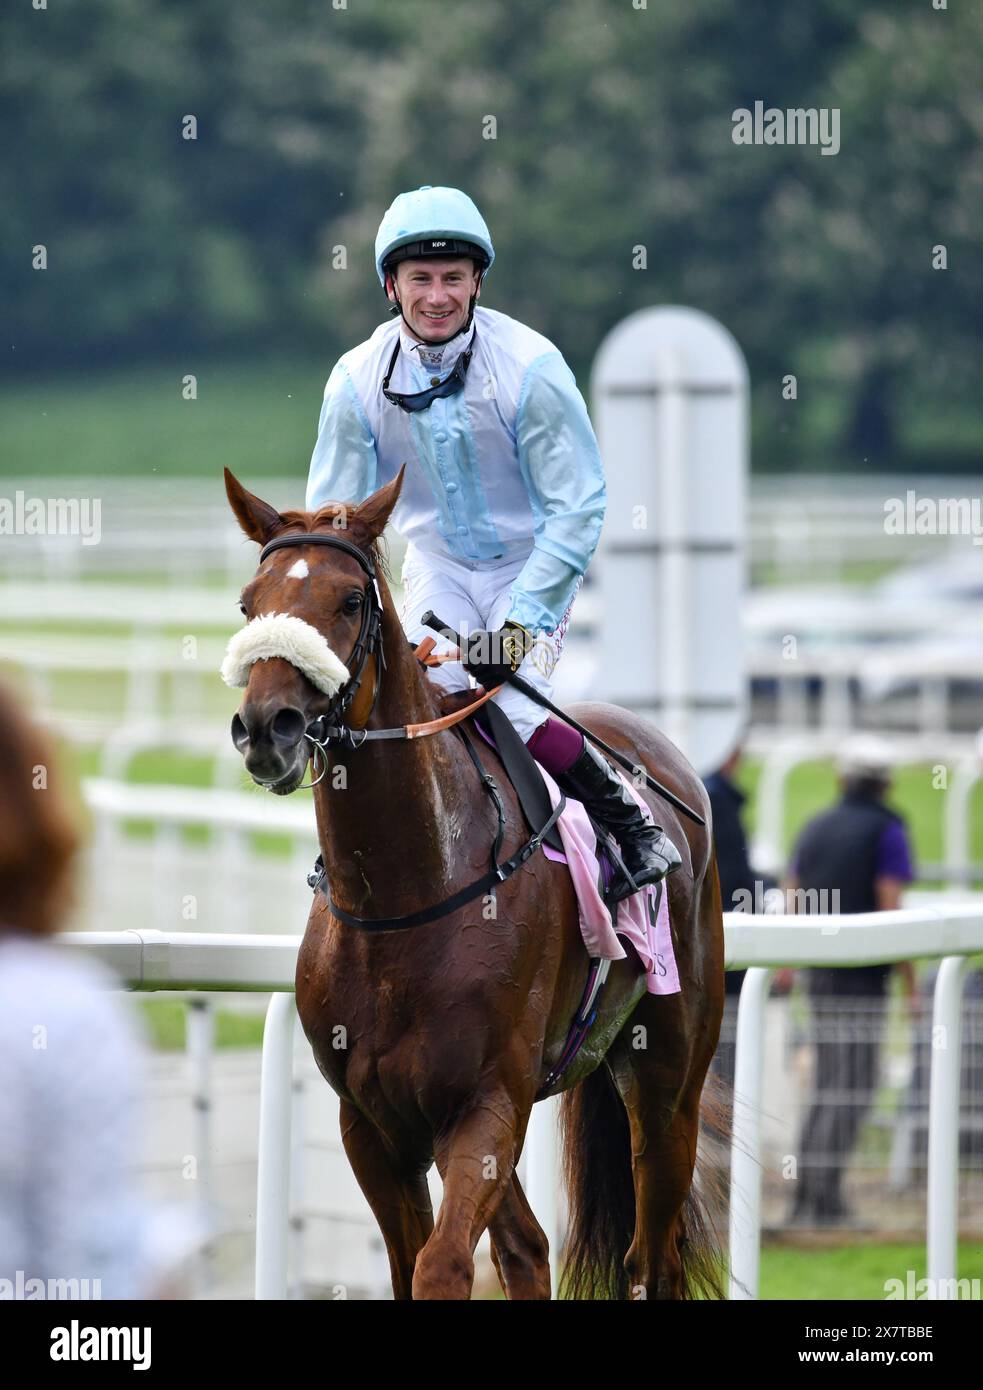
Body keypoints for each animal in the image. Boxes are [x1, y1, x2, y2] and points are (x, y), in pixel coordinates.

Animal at [225, 469, 728, 1301]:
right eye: (248, 602)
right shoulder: (373, 1123)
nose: (269, 725)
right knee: (529, 1244)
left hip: (668, 1073)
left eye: (350, 601)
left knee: (650, 1258)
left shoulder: (487, 1101)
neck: (402, 898)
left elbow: (443, 1265)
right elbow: (416, 1263)